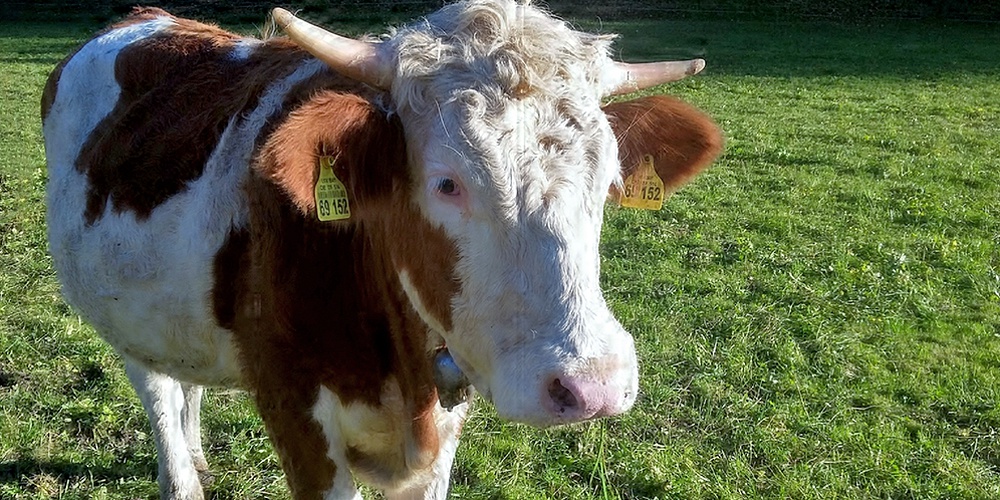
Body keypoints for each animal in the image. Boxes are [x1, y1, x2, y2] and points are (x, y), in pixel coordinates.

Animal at [43, 1, 724, 498]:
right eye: (447, 182)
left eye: (607, 179)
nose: (593, 385)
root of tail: (144, 17)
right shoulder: (300, 421)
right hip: (122, 320)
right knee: (158, 391)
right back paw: (181, 472)